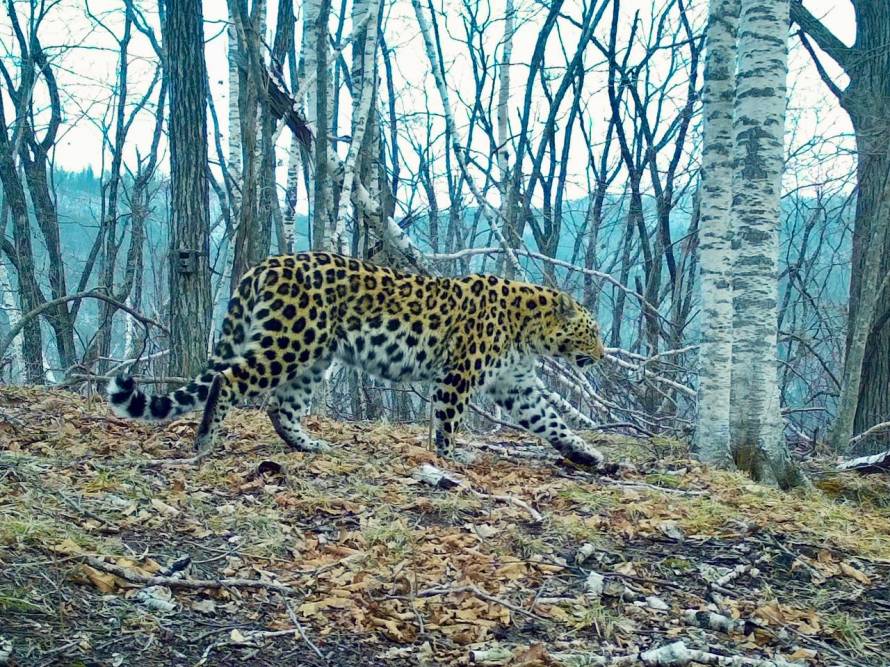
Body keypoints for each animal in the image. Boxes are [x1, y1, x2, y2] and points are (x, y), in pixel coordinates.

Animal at [104, 252, 604, 470]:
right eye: (593, 332)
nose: (600, 356)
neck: (530, 329)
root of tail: (261, 266)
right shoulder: (458, 377)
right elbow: (447, 420)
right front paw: (449, 455)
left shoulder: (515, 383)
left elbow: (551, 420)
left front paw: (585, 453)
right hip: (291, 342)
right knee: (227, 380)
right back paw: (205, 441)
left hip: (315, 356)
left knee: (279, 406)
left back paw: (309, 446)